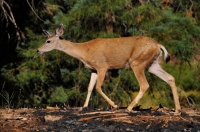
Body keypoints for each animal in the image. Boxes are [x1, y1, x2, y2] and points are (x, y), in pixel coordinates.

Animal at [37, 24, 181, 114]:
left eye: (48, 41)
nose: (38, 50)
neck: (85, 52)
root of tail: (158, 45)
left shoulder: (102, 66)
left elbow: (98, 87)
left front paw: (114, 105)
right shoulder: (93, 69)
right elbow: (89, 88)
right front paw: (83, 107)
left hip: (137, 62)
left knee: (144, 84)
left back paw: (128, 108)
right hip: (152, 64)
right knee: (170, 78)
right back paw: (177, 110)